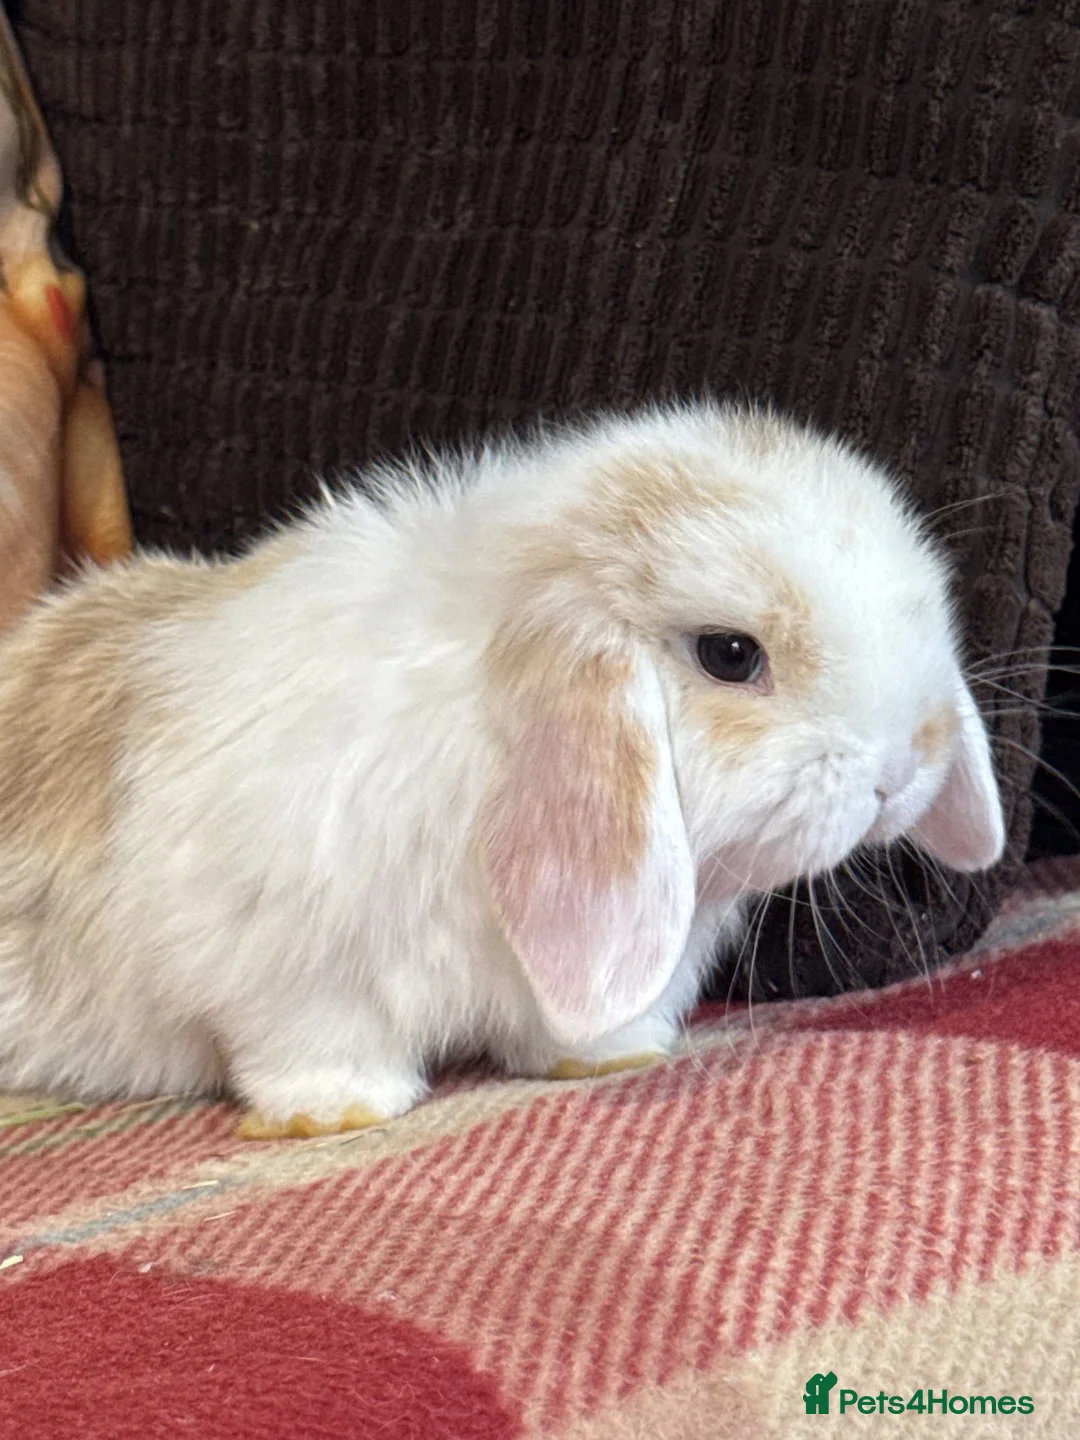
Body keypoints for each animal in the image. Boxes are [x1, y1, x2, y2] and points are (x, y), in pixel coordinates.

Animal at [0, 399, 1004, 1138]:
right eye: (729, 654)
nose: (904, 766)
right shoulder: (287, 963)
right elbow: (312, 1039)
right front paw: (340, 1111)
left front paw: (613, 1055)